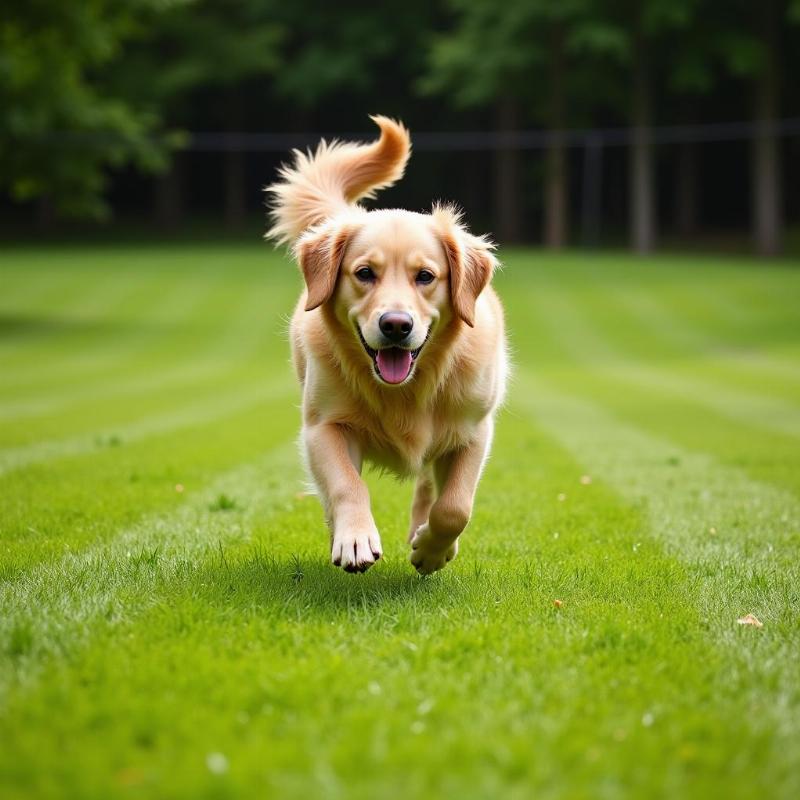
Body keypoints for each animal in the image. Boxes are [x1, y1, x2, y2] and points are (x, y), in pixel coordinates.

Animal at [268, 114, 506, 576]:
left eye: (425, 276)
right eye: (365, 273)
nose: (396, 325)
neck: (408, 388)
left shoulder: (474, 431)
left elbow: (455, 507)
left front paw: (431, 550)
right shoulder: (323, 427)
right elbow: (347, 486)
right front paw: (355, 539)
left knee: (429, 488)